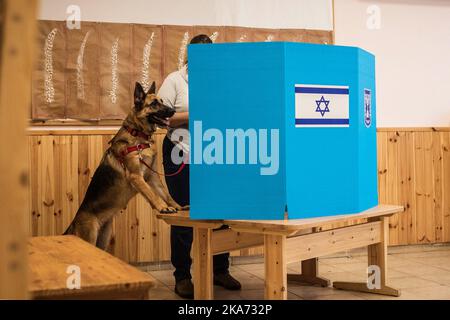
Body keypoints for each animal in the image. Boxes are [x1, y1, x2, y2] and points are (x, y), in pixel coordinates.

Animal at [63, 80, 183, 250]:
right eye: (154, 104)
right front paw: (163, 207)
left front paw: (176, 206)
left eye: (162, 101)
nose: (173, 111)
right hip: (89, 237)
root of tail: (73, 223)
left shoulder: (152, 177)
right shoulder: (136, 177)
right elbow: (152, 194)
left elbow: (165, 193)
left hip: (103, 240)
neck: (137, 135)